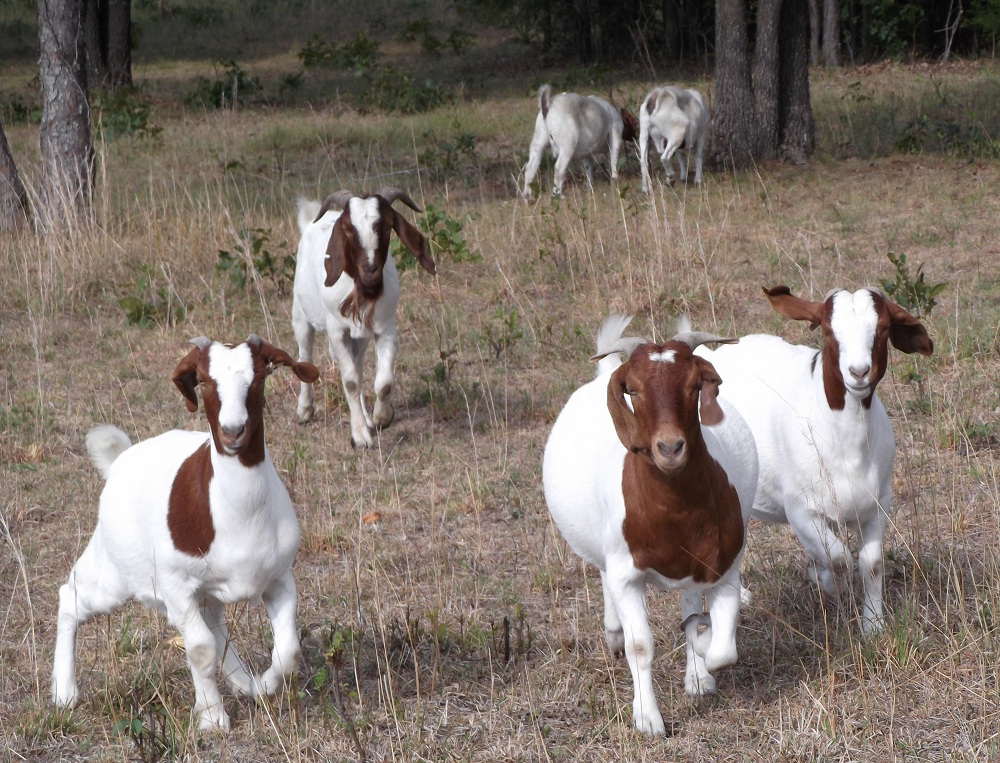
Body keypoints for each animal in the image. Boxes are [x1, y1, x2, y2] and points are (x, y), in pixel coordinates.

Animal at [51, 336, 320, 731]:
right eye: (204, 381)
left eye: (259, 378)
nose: (233, 431)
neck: (239, 514)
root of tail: (120, 460)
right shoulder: (175, 584)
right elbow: (200, 649)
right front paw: (212, 718)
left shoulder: (279, 577)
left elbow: (288, 651)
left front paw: (265, 685)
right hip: (116, 568)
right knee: (71, 596)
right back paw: (64, 693)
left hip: (204, 591)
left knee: (216, 625)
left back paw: (245, 683)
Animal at [292, 188, 435, 448]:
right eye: (349, 229)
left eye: (387, 226)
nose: (370, 269)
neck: (363, 290)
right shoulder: (337, 331)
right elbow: (350, 382)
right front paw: (359, 437)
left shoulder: (385, 328)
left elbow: (383, 382)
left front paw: (381, 418)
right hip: (300, 314)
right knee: (305, 354)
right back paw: (305, 410)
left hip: (362, 336)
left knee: (357, 366)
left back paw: (367, 417)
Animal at [543, 314, 758, 736]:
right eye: (634, 390)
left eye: (695, 385)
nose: (670, 448)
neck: (674, 516)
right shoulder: (626, 573)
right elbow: (640, 645)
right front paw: (648, 718)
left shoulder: (724, 567)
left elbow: (724, 650)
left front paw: (700, 651)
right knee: (605, 578)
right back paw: (614, 632)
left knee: (689, 598)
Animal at [696, 286, 934, 633]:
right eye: (827, 331)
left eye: (883, 329)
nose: (858, 372)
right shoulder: (800, 511)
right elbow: (838, 558)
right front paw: (826, 581)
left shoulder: (878, 504)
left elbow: (871, 563)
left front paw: (873, 625)